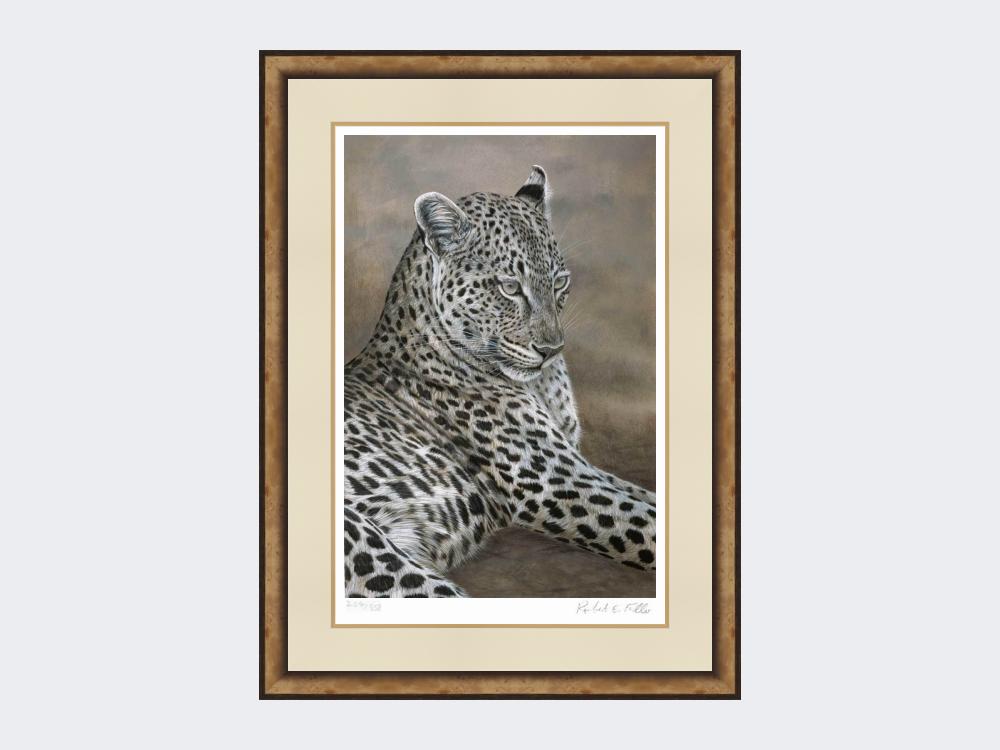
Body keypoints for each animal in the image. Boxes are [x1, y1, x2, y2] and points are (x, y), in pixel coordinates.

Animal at [343, 165, 656, 597]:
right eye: (509, 288)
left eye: (559, 283)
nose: (552, 349)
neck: (542, 384)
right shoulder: (553, 481)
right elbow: (646, 523)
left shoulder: (576, 464)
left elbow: (646, 495)